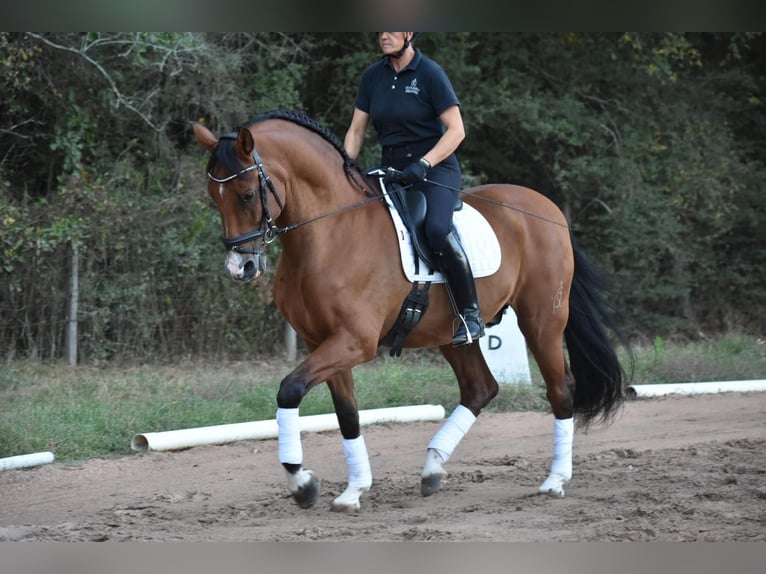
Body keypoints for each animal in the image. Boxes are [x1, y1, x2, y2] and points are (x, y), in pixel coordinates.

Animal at [194, 110, 632, 516]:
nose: (240, 268)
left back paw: (555, 480)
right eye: (214, 197)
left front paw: (302, 483)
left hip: (542, 321)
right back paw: (432, 468)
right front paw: (353, 490)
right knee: (480, 388)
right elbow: (347, 414)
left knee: (560, 390)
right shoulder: (324, 342)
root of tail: (548, 209)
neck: (329, 233)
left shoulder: (354, 342)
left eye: (247, 195)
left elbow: (289, 390)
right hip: (452, 334)